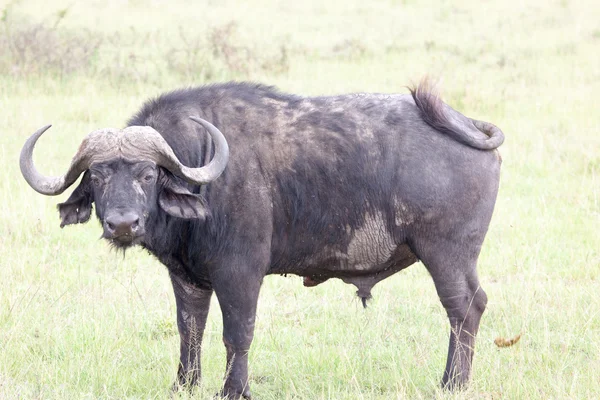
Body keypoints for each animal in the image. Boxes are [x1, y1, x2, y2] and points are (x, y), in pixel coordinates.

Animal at [19, 80, 502, 396]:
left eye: (148, 174)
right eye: (97, 176)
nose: (122, 224)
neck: (203, 169)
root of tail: (469, 126)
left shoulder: (240, 273)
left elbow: (238, 332)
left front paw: (234, 389)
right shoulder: (187, 277)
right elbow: (189, 329)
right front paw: (184, 384)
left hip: (446, 255)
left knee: (465, 308)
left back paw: (452, 383)